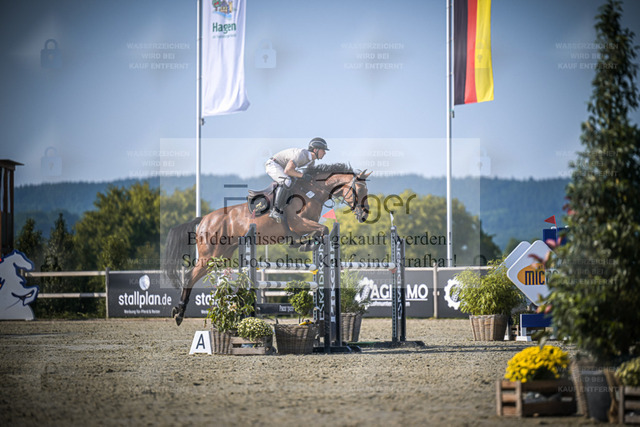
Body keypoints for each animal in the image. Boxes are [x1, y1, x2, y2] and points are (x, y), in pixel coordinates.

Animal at [163, 163, 372, 325]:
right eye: (360, 190)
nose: (364, 215)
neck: (312, 192)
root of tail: (204, 219)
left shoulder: (302, 226)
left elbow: (319, 232)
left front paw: (305, 244)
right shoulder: (298, 223)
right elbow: (324, 229)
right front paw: (307, 245)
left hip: (222, 255)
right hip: (209, 256)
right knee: (189, 276)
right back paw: (179, 313)